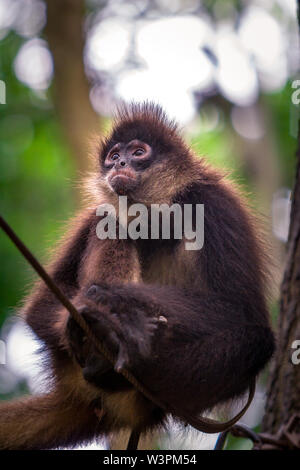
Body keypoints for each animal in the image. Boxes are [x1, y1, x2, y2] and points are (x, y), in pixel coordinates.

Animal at [0, 103, 276, 452]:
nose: (119, 163)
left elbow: (237, 311)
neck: (157, 218)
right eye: (114, 155)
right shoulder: (95, 211)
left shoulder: (216, 203)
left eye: (138, 152)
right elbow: (38, 309)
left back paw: (126, 358)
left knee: (255, 341)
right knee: (112, 224)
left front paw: (113, 300)